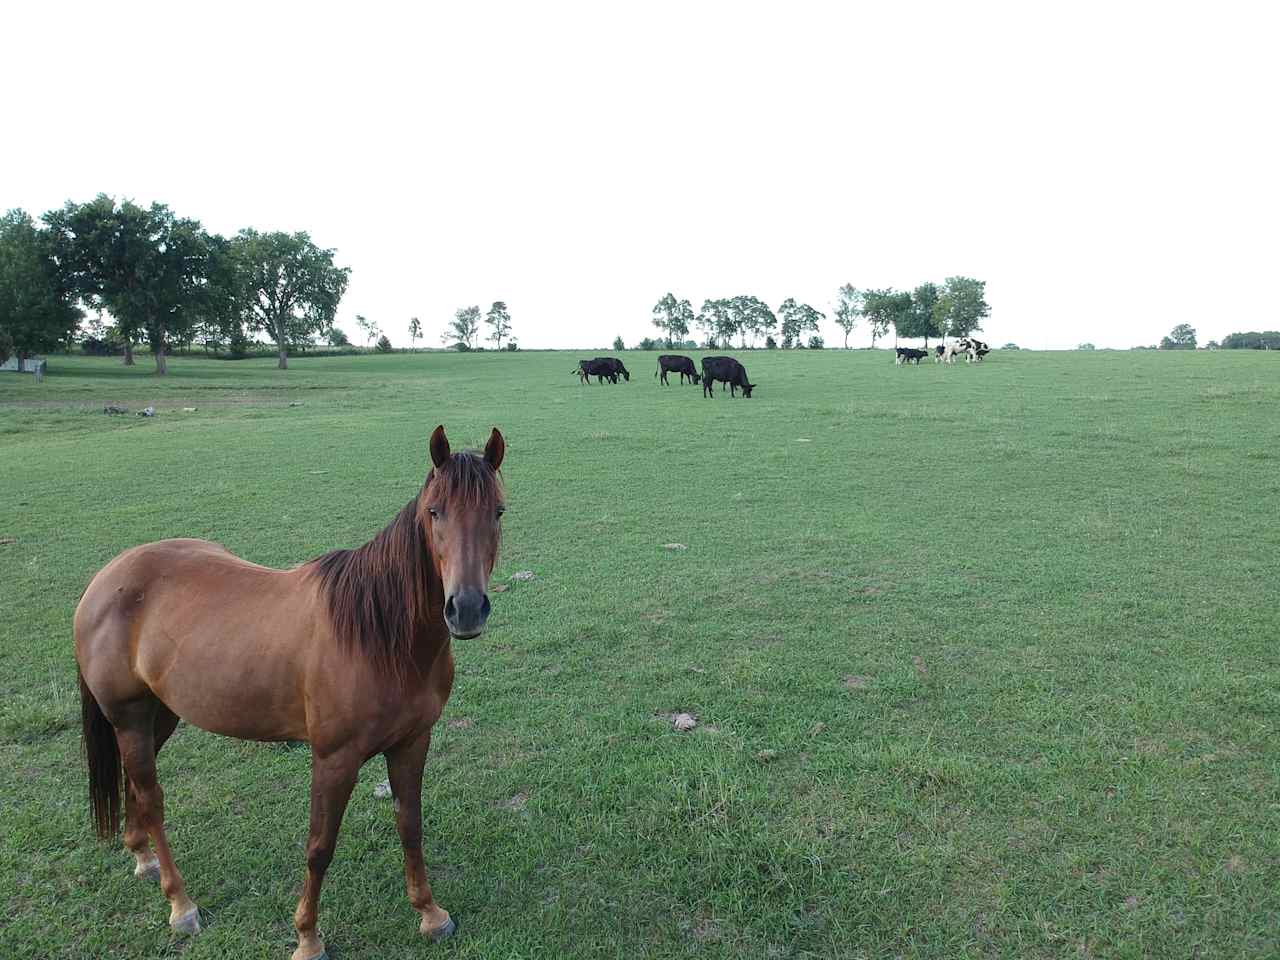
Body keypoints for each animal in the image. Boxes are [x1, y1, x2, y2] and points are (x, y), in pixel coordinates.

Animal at [73, 427, 504, 960]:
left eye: (498, 512)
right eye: (434, 511)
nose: (465, 608)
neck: (378, 636)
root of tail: (106, 579)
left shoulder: (412, 743)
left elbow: (410, 826)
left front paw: (430, 914)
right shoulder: (334, 759)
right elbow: (320, 847)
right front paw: (307, 937)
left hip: (162, 715)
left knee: (135, 786)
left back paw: (142, 858)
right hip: (130, 717)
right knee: (152, 798)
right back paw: (181, 904)